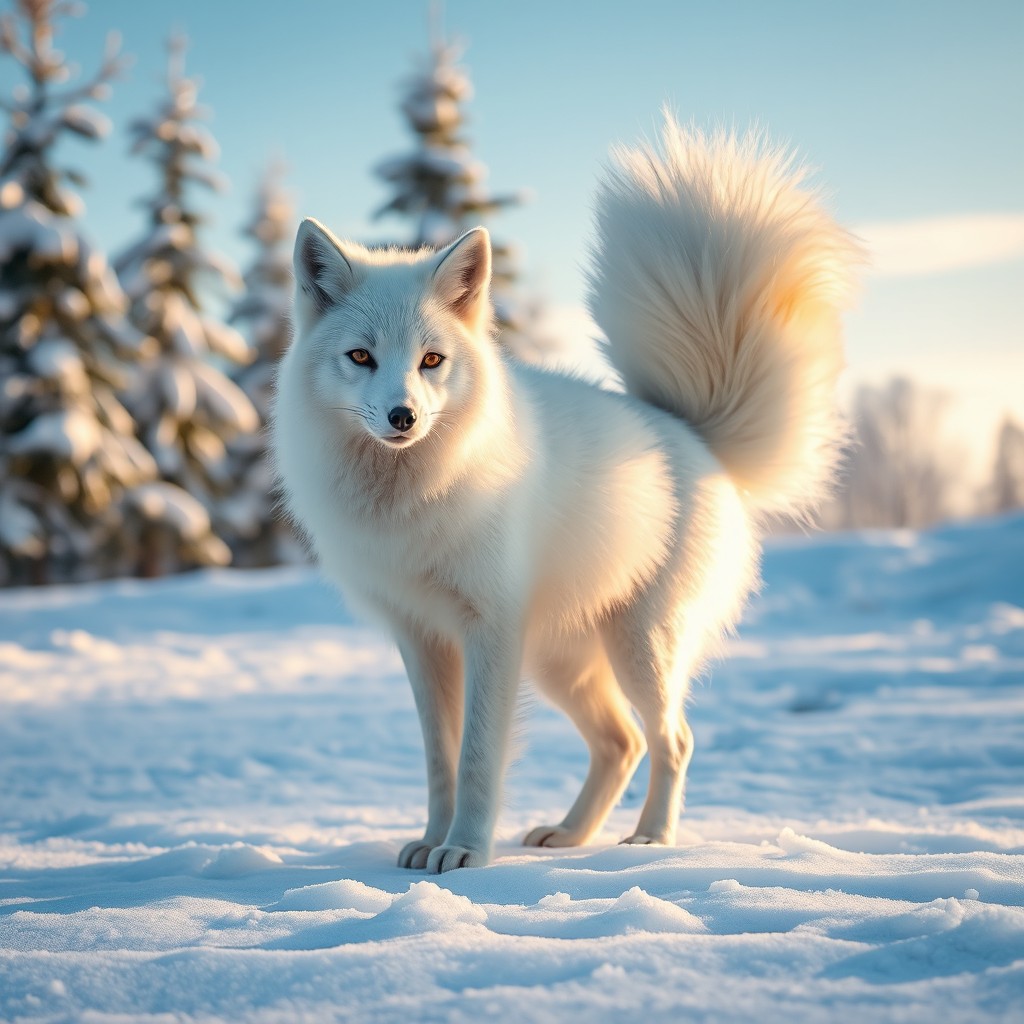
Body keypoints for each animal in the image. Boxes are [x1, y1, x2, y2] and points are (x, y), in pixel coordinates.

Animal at [272, 117, 860, 873]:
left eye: (432, 360)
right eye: (361, 357)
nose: (403, 417)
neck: (412, 497)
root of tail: (691, 434)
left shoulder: (491, 629)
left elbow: (478, 757)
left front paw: (465, 851)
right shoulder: (421, 638)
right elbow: (439, 759)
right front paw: (432, 840)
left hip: (638, 648)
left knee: (672, 739)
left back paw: (651, 838)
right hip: (562, 661)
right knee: (622, 742)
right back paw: (569, 836)